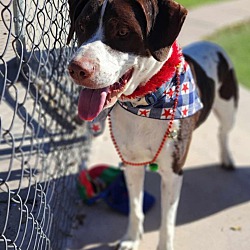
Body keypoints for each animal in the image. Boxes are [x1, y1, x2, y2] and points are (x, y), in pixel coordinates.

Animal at [66, 0, 238, 249]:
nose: (76, 69)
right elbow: (135, 208)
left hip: (229, 109)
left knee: (223, 132)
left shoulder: (172, 173)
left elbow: (167, 222)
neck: (144, 105)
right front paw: (130, 239)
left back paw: (227, 157)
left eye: (122, 32)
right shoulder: (131, 164)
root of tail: (211, 43)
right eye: (81, 26)